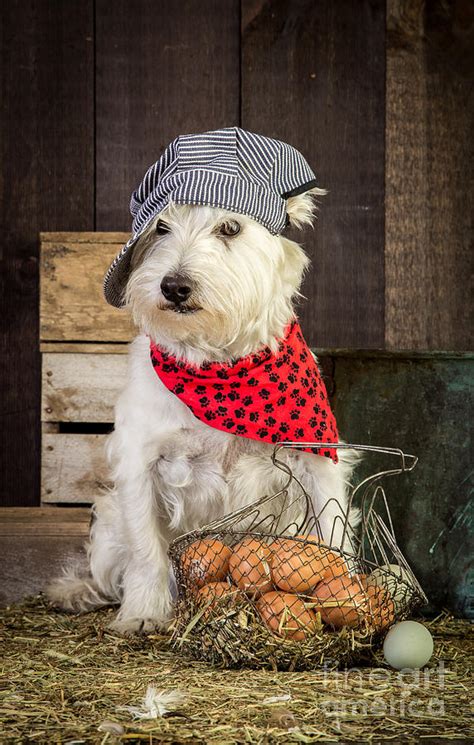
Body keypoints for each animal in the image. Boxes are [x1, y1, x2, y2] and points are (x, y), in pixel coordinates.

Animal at [47, 187, 360, 632]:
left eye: (230, 227)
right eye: (160, 227)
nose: (174, 286)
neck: (218, 364)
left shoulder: (316, 460)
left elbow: (336, 534)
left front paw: (353, 596)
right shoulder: (140, 464)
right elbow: (145, 550)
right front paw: (144, 613)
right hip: (107, 521)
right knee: (108, 574)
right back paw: (77, 591)